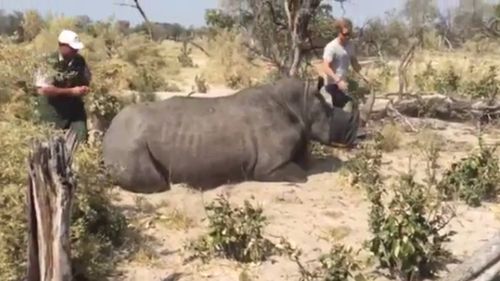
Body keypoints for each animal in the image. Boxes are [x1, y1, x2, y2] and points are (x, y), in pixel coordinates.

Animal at [102, 76, 360, 192]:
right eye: (332, 115)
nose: (357, 136)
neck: (303, 106)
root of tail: (108, 132)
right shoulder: (269, 168)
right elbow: (301, 175)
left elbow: (308, 164)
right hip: (128, 146)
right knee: (156, 183)